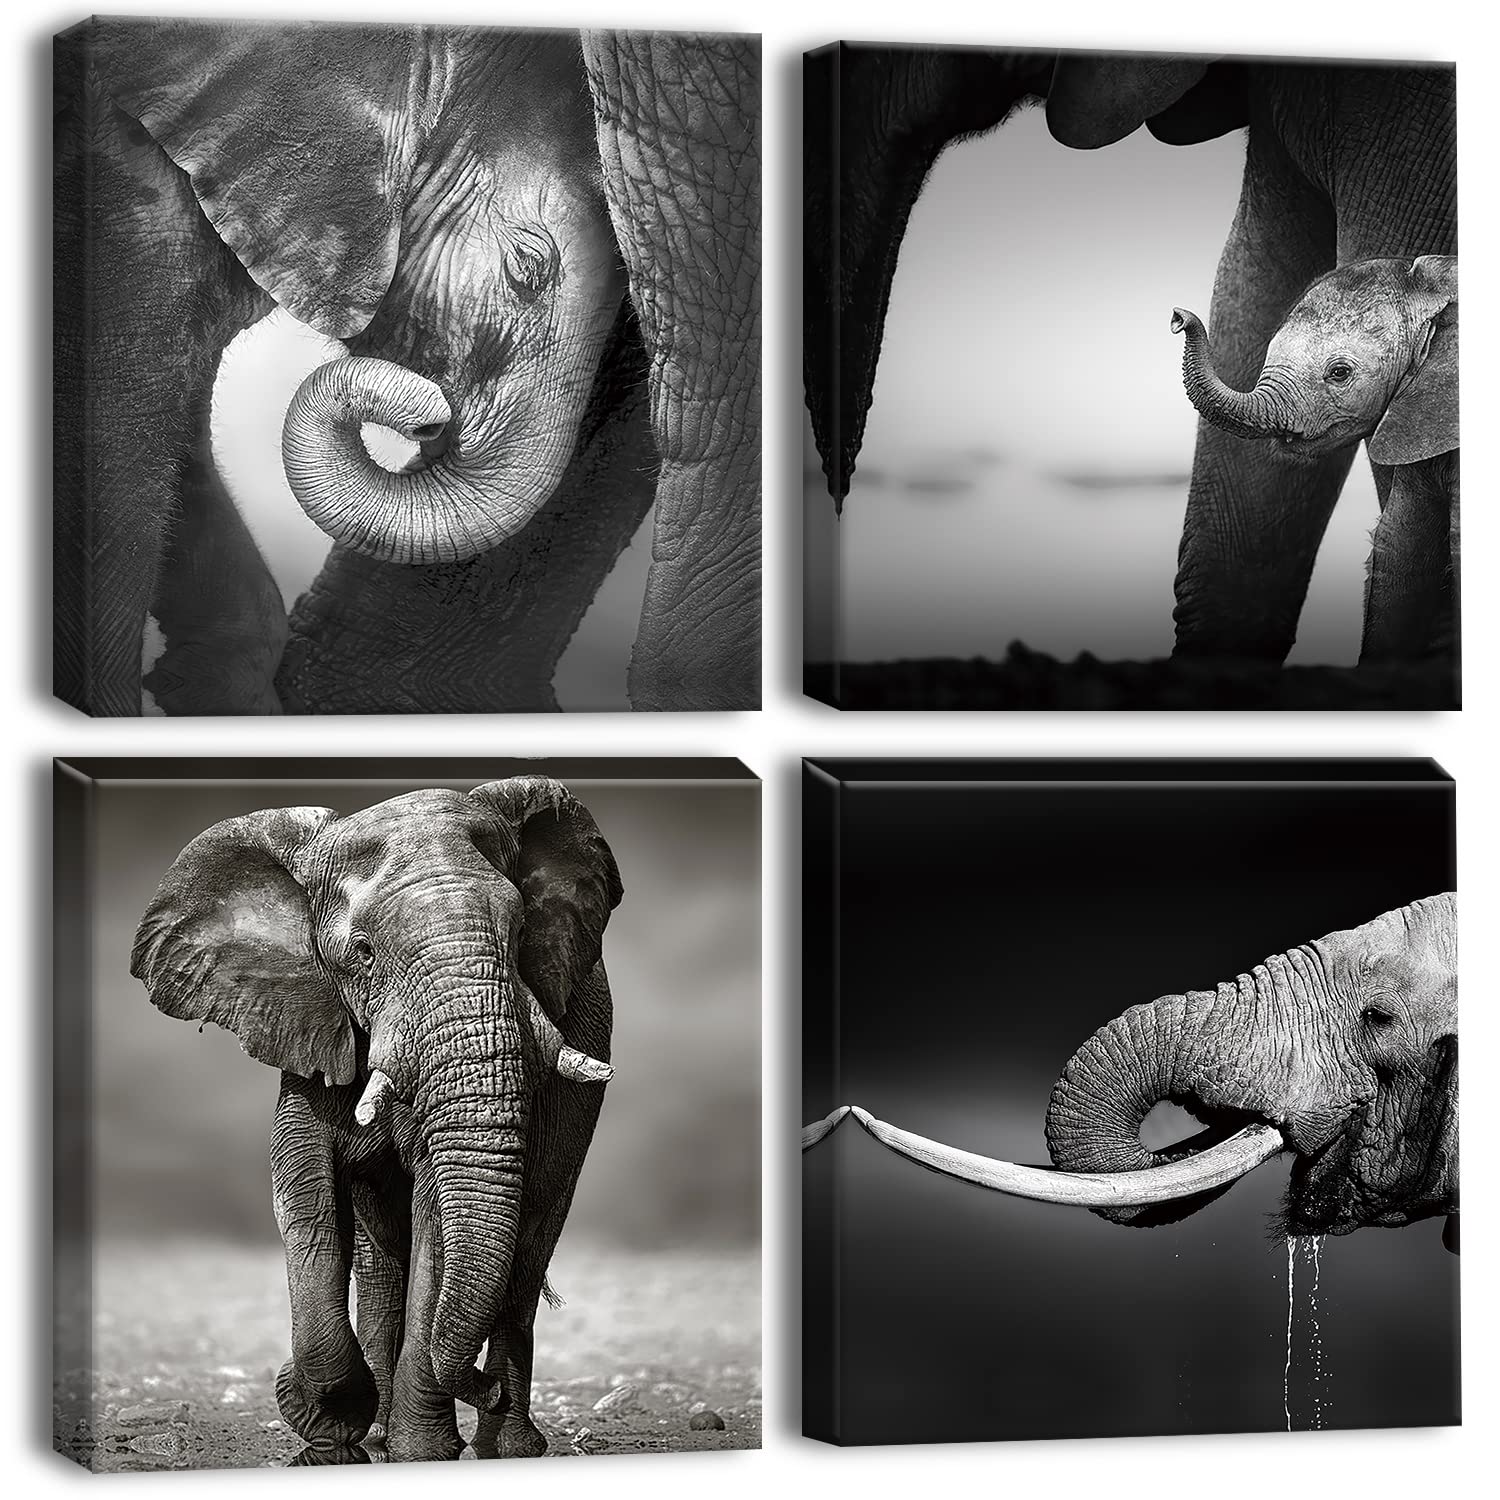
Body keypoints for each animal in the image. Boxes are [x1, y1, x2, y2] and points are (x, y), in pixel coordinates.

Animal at [130, 777, 623, 1461]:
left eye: (522, 930)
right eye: (361, 954)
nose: (483, 1386)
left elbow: (436, 1209)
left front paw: (421, 1452)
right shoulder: (311, 1023)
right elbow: (304, 1188)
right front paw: (327, 1432)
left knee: (530, 1241)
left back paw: (505, 1445)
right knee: (382, 1260)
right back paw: (388, 1430)